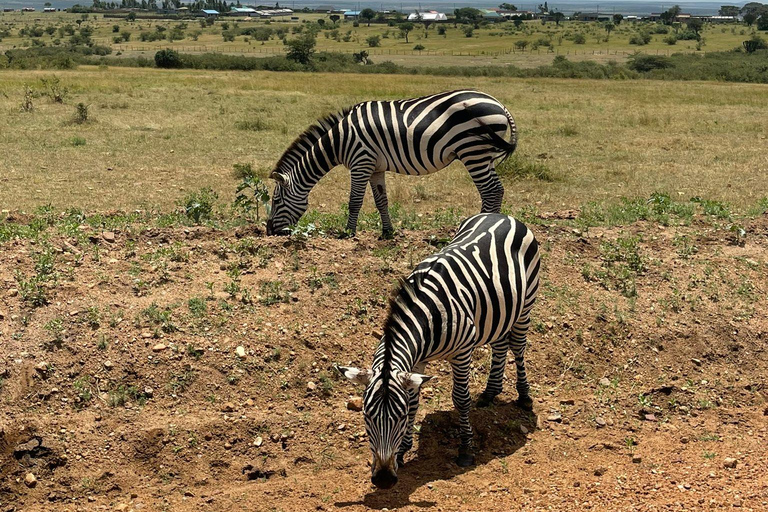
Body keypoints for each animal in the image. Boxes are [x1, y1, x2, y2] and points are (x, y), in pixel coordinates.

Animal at [266, 89, 520, 238]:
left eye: (276, 201)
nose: (269, 232)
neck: (339, 140)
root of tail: (499, 104)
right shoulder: (375, 168)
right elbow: (381, 201)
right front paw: (388, 232)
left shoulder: (361, 162)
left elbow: (354, 201)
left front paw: (348, 233)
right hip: (484, 155)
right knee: (496, 190)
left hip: (473, 151)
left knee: (491, 191)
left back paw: (481, 229)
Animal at [336, 214, 540, 490]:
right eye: (367, 416)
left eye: (400, 418)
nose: (384, 480)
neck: (427, 315)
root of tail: (502, 215)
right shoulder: (416, 361)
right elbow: (414, 400)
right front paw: (404, 449)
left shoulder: (462, 352)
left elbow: (461, 399)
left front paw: (465, 449)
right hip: (500, 310)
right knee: (500, 345)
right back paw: (490, 392)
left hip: (526, 303)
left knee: (518, 346)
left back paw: (524, 397)